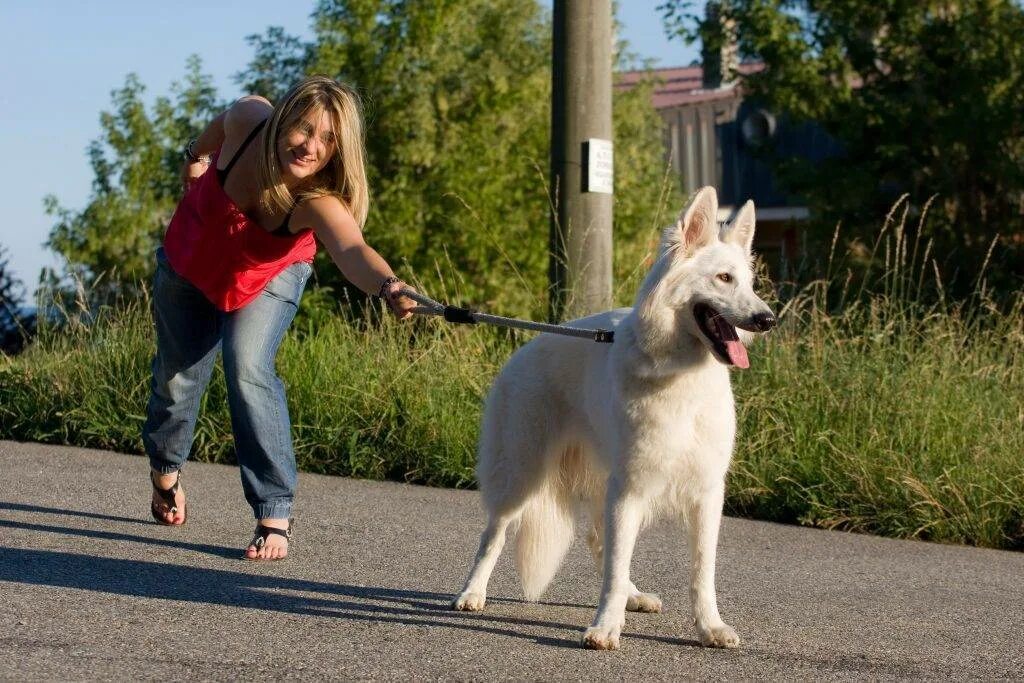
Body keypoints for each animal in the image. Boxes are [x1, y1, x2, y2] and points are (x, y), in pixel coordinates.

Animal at [452, 187, 770, 651]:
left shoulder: (706, 493)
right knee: (493, 536)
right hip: (522, 478)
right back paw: (471, 593)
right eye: (723, 279)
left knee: (598, 540)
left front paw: (710, 627)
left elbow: (701, 572)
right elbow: (616, 567)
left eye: (749, 283)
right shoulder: (631, 487)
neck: (680, 376)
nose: (768, 319)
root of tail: (520, 354)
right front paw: (605, 627)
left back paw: (634, 598)